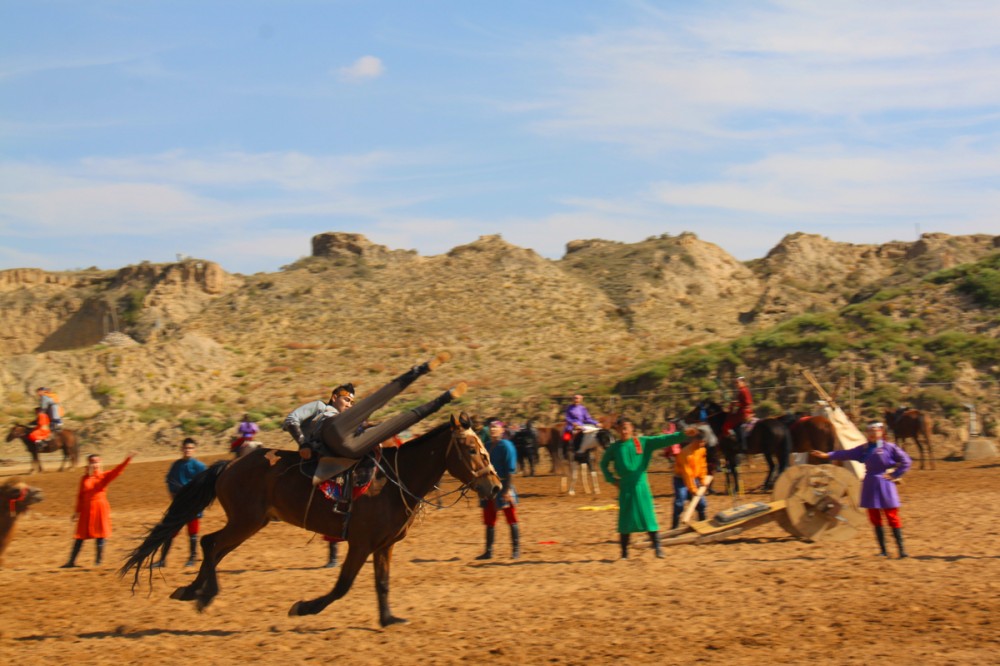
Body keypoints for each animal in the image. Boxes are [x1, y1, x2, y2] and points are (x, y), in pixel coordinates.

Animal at [122, 412, 504, 624]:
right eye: (471, 449)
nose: (496, 486)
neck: (394, 481)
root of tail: (229, 465)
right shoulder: (360, 544)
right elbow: (342, 586)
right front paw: (304, 608)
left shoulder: (384, 545)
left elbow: (382, 583)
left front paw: (388, 619)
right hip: (246, 521)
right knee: (210, 543)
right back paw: (200, 594)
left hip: (250, 523)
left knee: (213, 547)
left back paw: (193, 592)